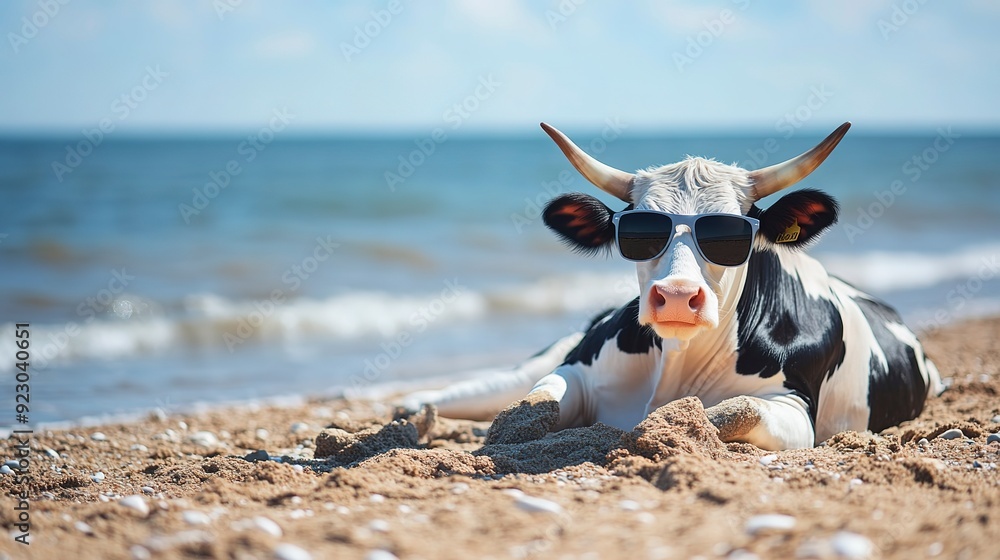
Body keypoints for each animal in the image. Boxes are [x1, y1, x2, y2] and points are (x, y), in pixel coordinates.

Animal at [400, 122, 944, 450]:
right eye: (639, 228)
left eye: (732, 231)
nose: (679, 296)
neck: (678, 365)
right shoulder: (576, 367)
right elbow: (529, 407)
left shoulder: (796, 407)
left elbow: (733, 412)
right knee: (493, 386)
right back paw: (414, 408)